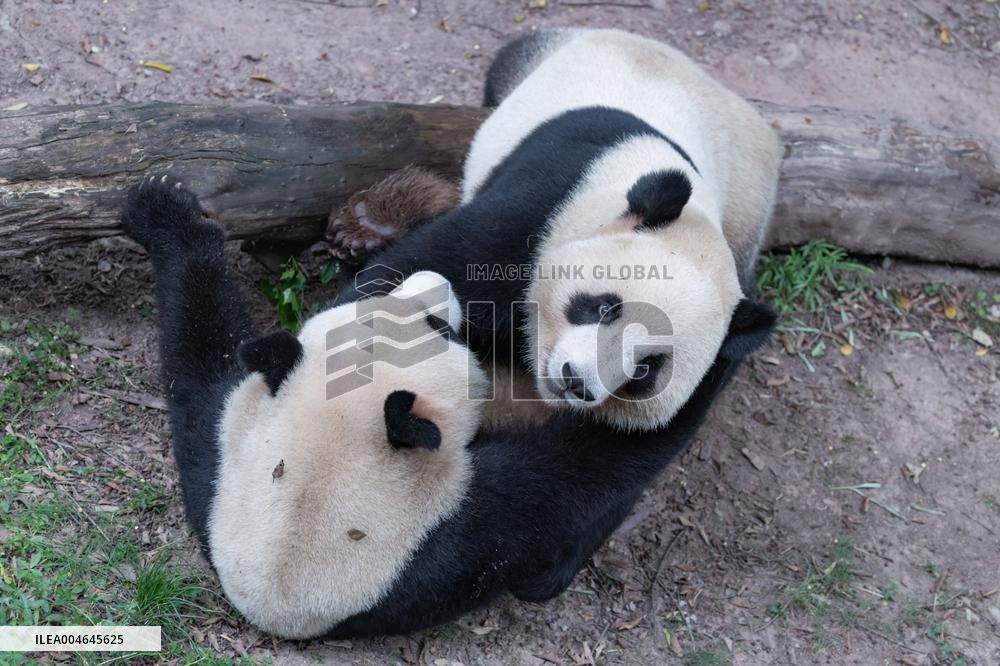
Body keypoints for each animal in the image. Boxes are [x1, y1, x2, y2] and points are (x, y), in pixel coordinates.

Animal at [123, 175, 769, 639]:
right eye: (436, 327)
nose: (436, 284)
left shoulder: (223, 448)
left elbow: (202, 354)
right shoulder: (452, 532)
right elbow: (581, 471)